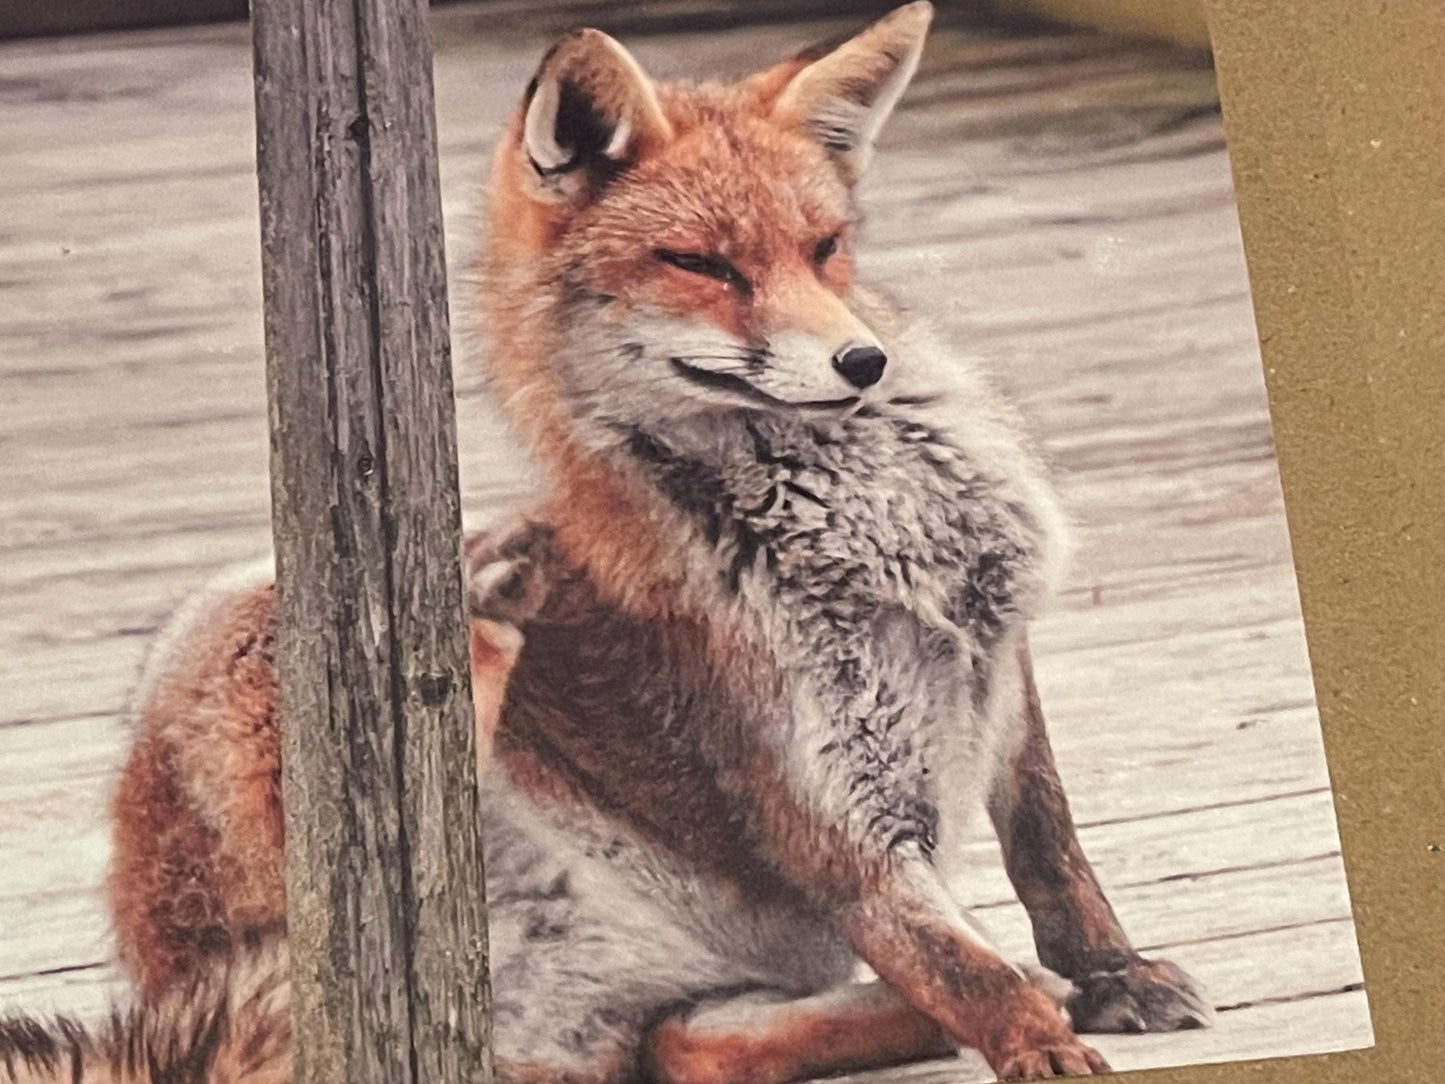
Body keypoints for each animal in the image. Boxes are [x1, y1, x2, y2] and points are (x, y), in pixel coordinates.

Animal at [3, 5, 1214, 1082]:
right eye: (705, 266)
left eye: (823, 250)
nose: (862, 363)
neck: (878, 533)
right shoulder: (828, 812)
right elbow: (966, 968)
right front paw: (1042, 1047)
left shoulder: (998, 667)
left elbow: (1049, 853)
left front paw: (1107, 976)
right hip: (242, 622)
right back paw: (476, 613)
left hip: (675, 995)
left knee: (688, 1052)